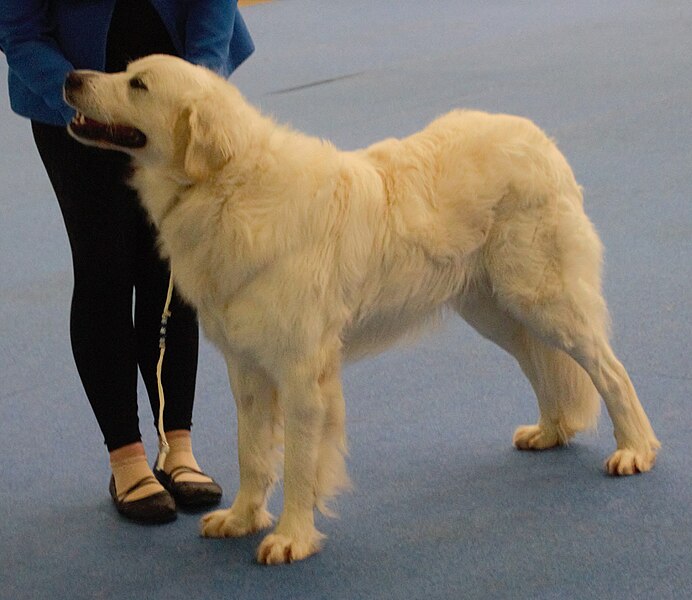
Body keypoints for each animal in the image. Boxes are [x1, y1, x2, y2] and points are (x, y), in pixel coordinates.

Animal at [65, 54, 660, 564]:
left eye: (138, 84)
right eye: (123, 72)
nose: (70, 77)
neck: (227, 188)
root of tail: (537, 137)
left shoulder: (301, 374)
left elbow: (298, 463)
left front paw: (291, 538)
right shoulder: (248, 369)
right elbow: (251, 453)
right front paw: (241, 519)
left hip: (541, 298)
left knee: (609, 371)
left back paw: (634, 451)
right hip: (495, 311)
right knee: (541, 365)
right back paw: (550, 432)